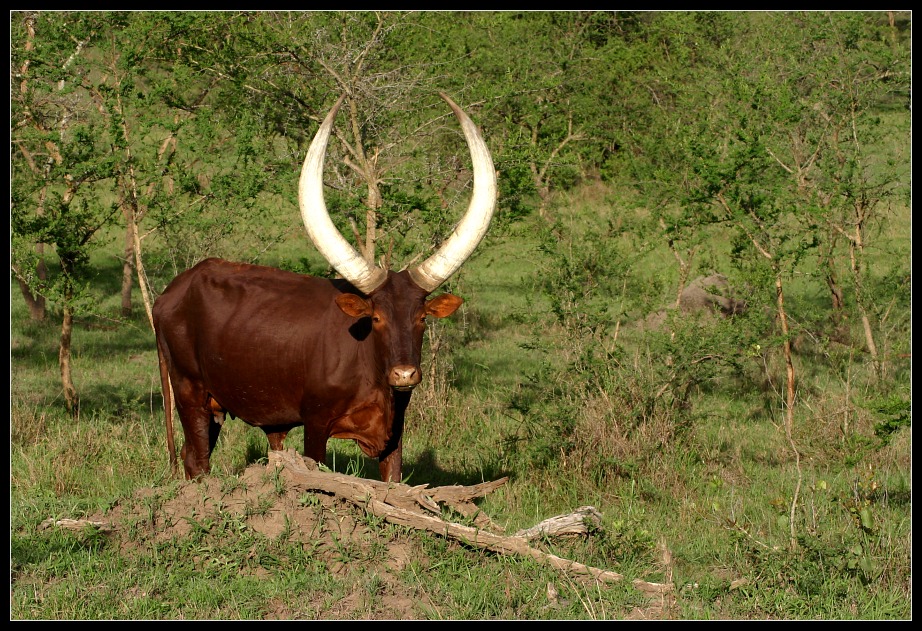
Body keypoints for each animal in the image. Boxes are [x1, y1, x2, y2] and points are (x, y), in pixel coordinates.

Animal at [153, 94, 496, 482]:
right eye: (376, 318)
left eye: (422, 317)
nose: (404, 374)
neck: (370, 371)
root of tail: (170, 292)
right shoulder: (315, 423)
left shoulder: (395, 432)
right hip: (189, 391)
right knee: (197, 460)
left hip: (214, 404)